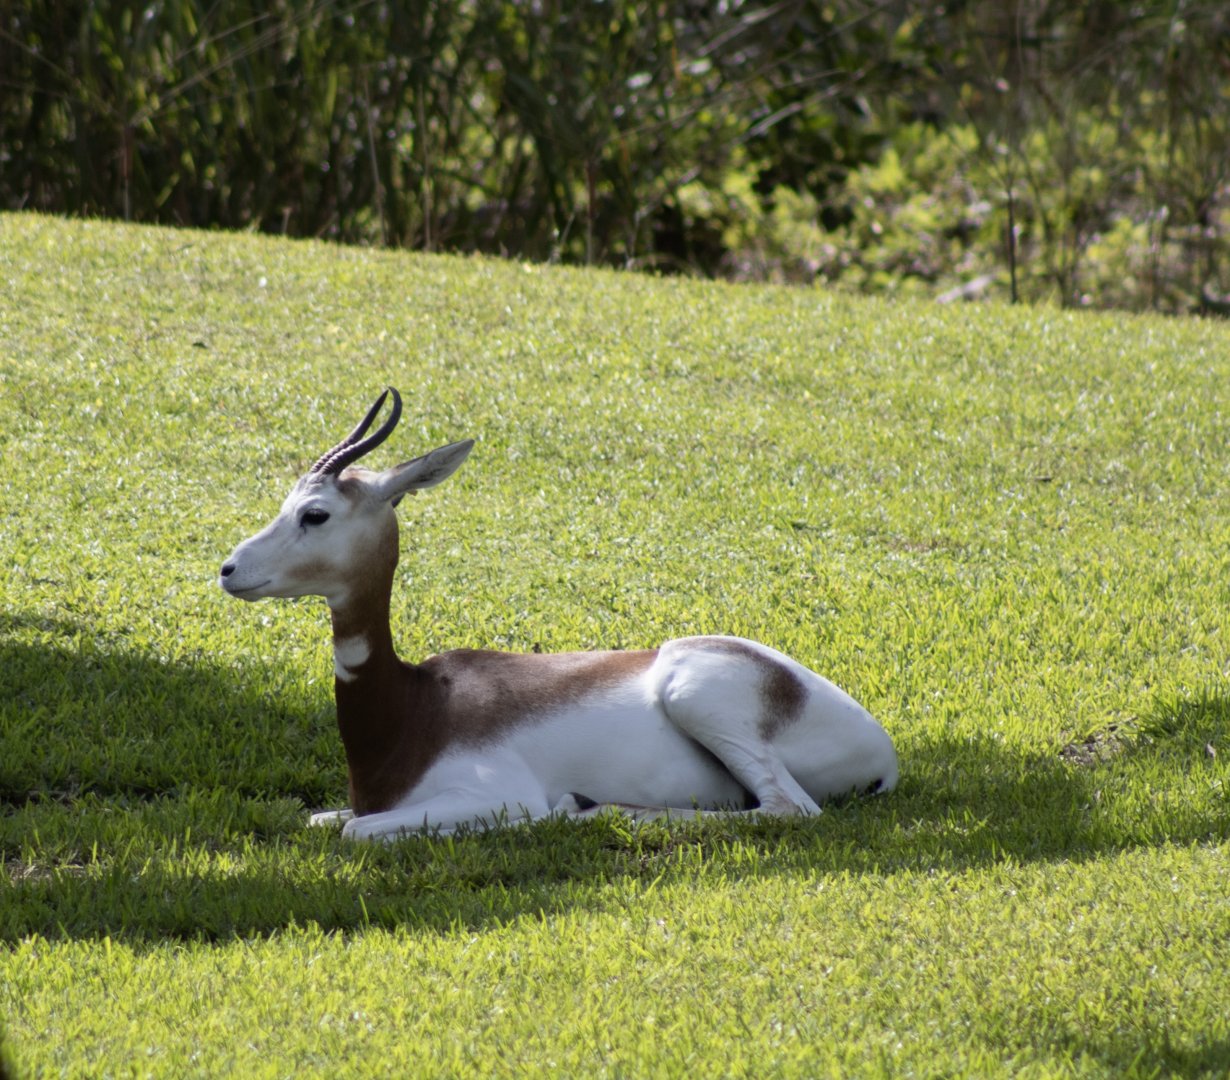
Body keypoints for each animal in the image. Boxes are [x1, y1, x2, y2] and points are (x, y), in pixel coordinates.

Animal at [219, 389, 898, 840]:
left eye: (315, 514)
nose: (229, 569)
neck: (413, 710)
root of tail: (885, 750)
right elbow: (319, 819)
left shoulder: (494, 793)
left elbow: (355, 831)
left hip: (696, 695)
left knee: (789, 810)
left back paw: (594, 809)